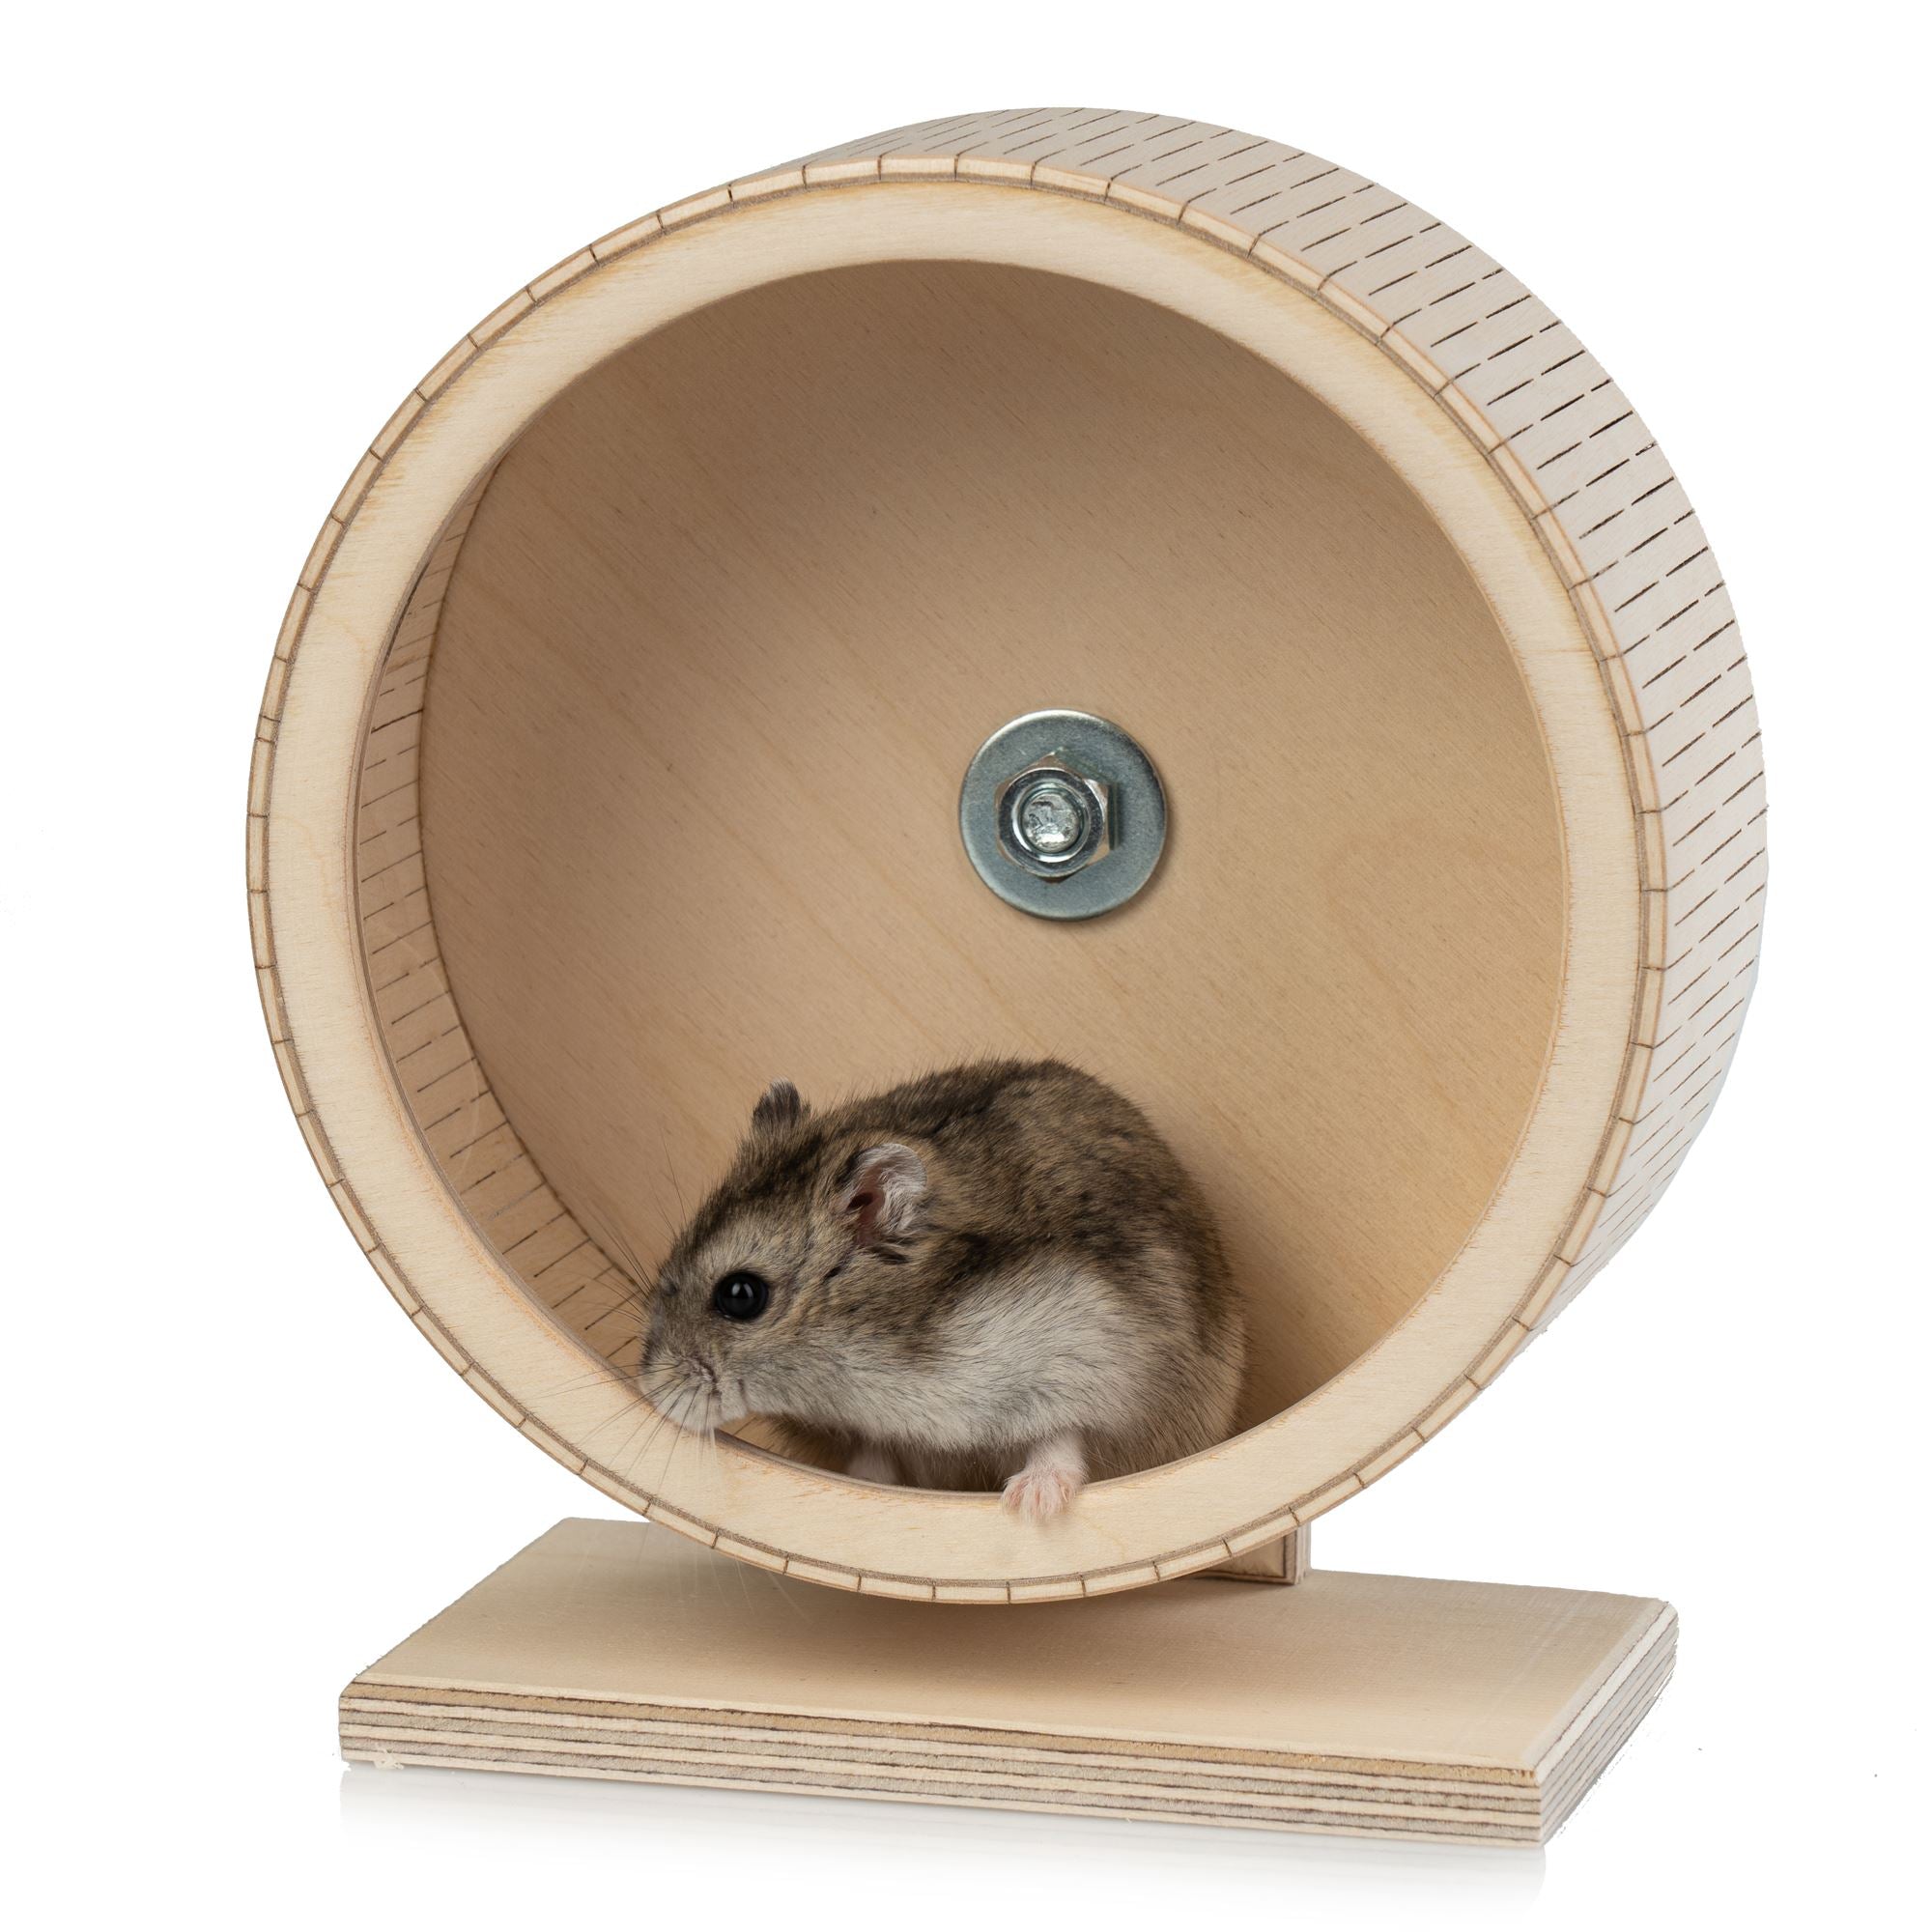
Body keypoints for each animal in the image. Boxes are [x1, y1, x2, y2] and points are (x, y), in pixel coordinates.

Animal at [636, 1059, 1246, 1520]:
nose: (651, 1390)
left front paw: (1031, 1507)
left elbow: (1061, 1437)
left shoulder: (1098, 1353)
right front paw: (867, 1488)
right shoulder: (880, 1425)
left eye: (741, 1295)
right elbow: (875, 1453)